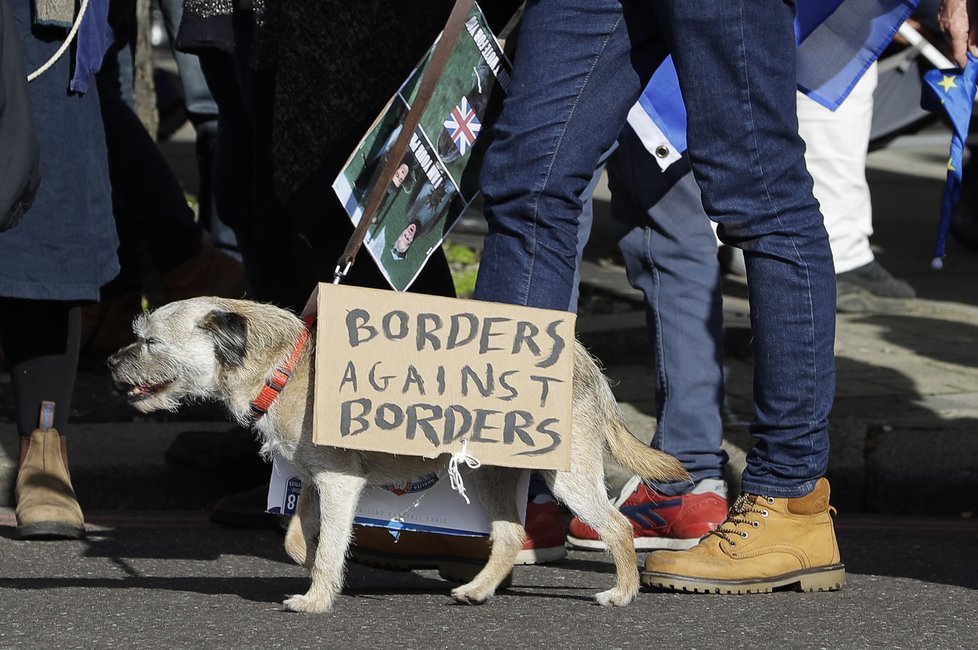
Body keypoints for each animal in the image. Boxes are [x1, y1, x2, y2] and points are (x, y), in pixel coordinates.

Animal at [108, 296, 688, 612]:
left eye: (152, 342)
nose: (111, 362)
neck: (283, 367)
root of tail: (588, 365)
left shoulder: (339, 483)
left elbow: (325, 546)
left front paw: (316, 598)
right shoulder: (318, 481)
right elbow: (299, 537)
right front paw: (313, 563)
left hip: (565, 477)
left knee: (618, 527)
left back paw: (622, 593)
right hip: (490, 477)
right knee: (507, 535)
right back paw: (478, 589)